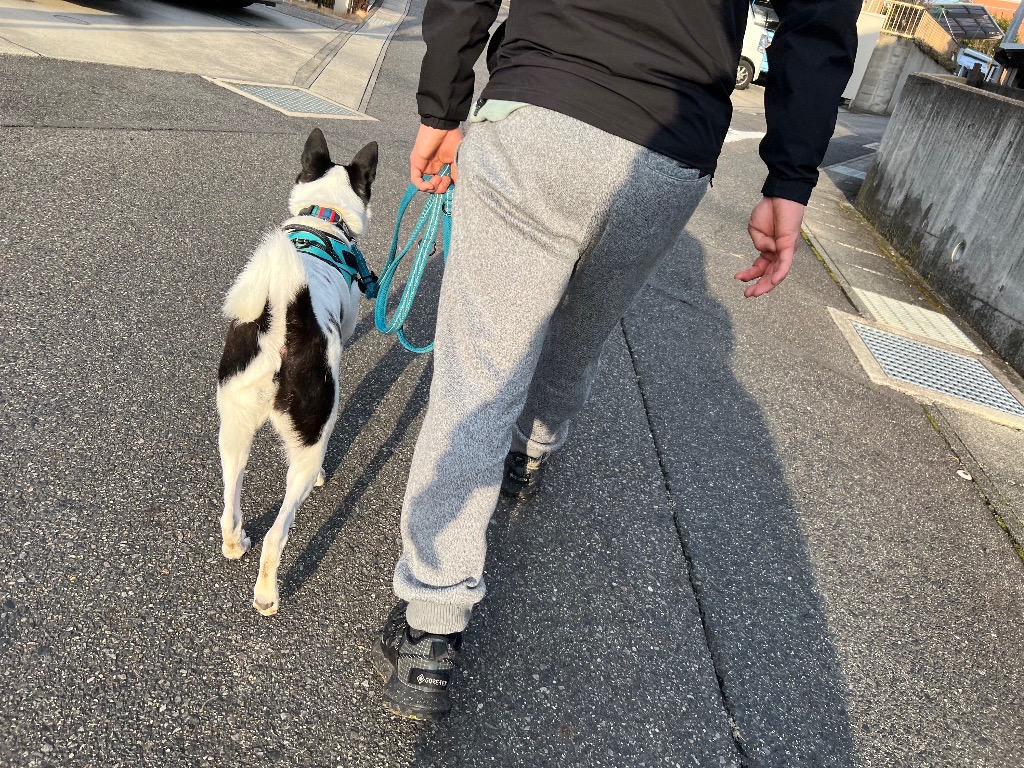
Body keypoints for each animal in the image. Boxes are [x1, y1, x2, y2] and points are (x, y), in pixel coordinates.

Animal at [216, 128, 378, 616]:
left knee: (229, 509)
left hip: (233, 427)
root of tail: (286, 316)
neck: (323, 218)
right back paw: (267, 595)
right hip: (307, 446)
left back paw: (236, 544)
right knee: (277, 535)